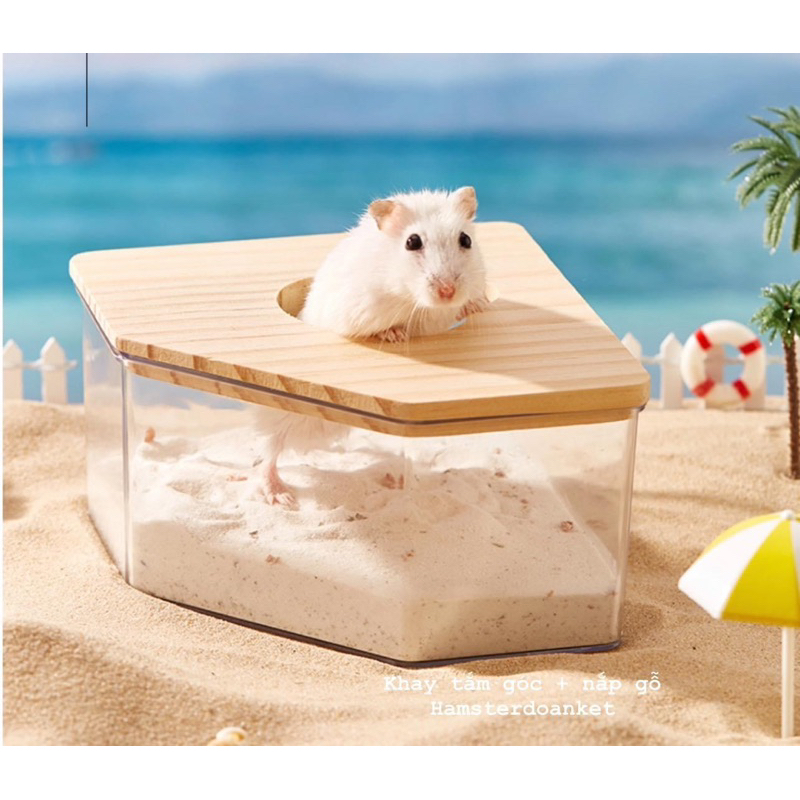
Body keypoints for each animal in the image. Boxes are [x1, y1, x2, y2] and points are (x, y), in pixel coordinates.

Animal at [257, 187, 490, 507]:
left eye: (465, 239)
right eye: (412, 241)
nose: (447, 292)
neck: (414, 301)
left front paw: (479, 304)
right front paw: (395, 334)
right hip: (282, 413)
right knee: (267, 452)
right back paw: (281, 497)